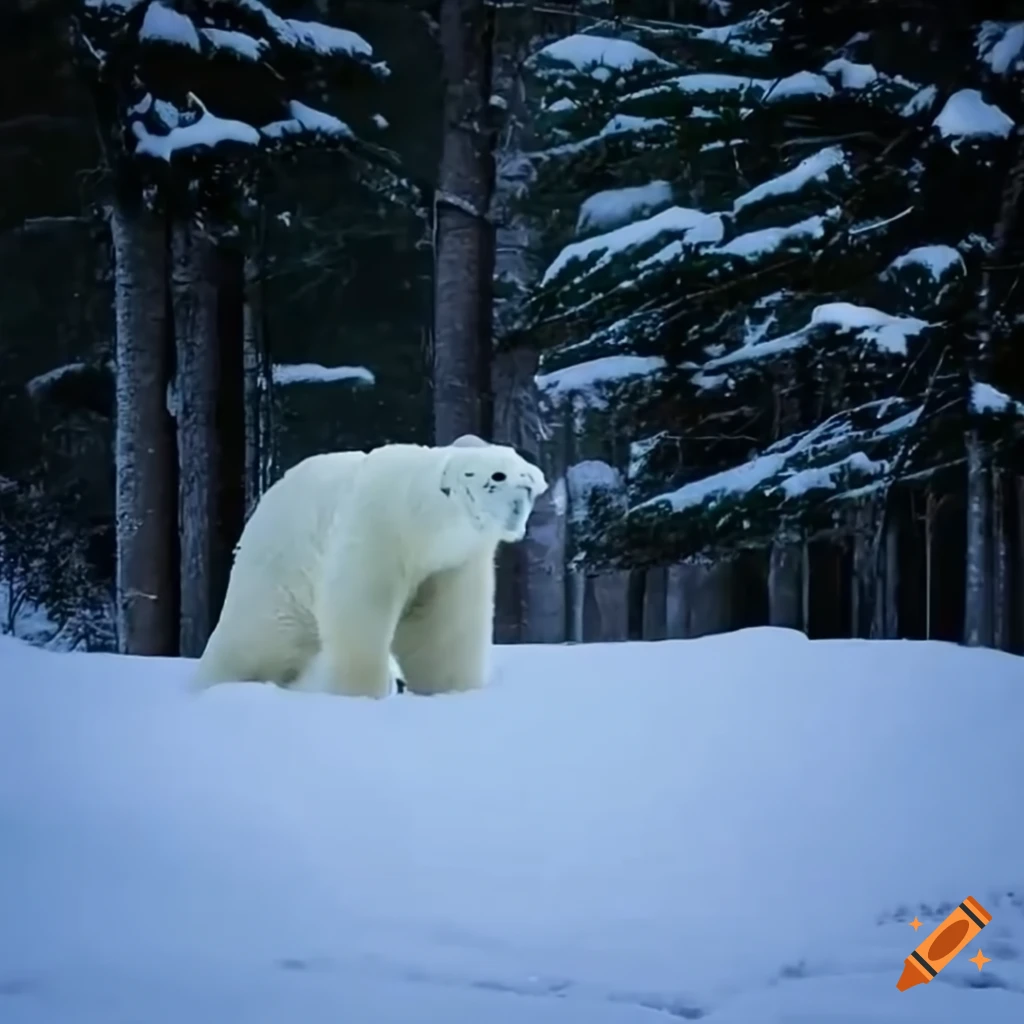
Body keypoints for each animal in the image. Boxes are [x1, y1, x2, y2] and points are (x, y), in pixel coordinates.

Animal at [192, 439, 547, 699]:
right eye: (498, 476)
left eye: (529, 482)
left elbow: (443, 630)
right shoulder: (378, 527)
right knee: (255, 638)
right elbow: (361, 610)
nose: (519, 505)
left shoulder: (454, 563)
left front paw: (448, 691)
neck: (420, 521)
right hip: (277, 571)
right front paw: (362, 695)